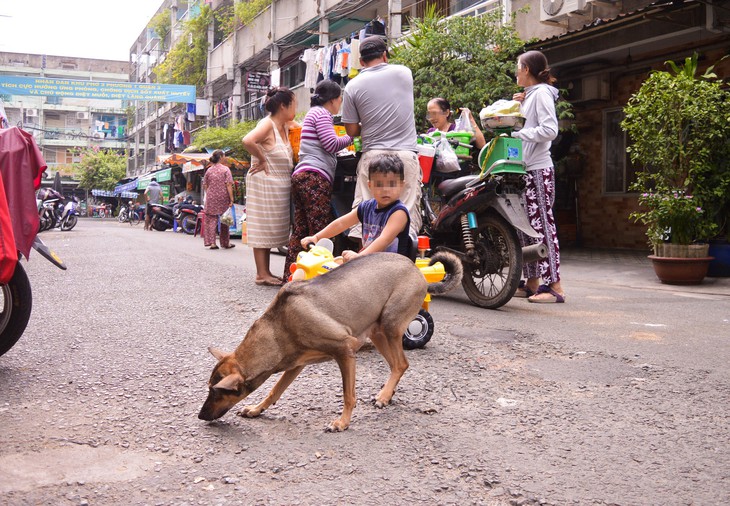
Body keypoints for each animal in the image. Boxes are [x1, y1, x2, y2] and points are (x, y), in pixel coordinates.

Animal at [199, 251, 460, 432]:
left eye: (217, 393)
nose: (200, 416)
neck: (278, 327)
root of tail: (417, 271)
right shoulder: (296, 364)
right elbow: (274, 391)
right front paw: (256, 410)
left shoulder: (346, 351)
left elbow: (348, 395)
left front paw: (342, 423)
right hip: (377, 333)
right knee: (398, 365)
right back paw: (386, 395)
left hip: (390, 326)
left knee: (401, 362)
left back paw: (384, 396)